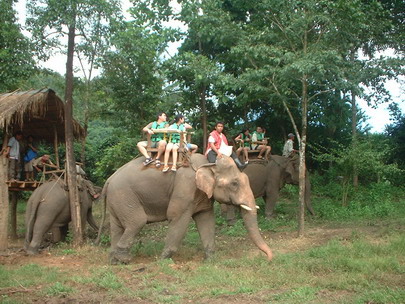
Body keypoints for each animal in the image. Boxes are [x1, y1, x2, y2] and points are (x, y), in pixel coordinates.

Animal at [99, 153, 274, 264]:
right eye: (235, 183)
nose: (270, 258)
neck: (207, 163)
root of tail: (108, 180)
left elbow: (206, 220)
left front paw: (211, 260)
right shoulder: (185, 188)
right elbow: (177, 218)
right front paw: (162, 261)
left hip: (118, 201)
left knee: (117, 227)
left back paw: (114, 261)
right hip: (124, 196)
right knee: (136, 222)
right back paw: (124, 259)